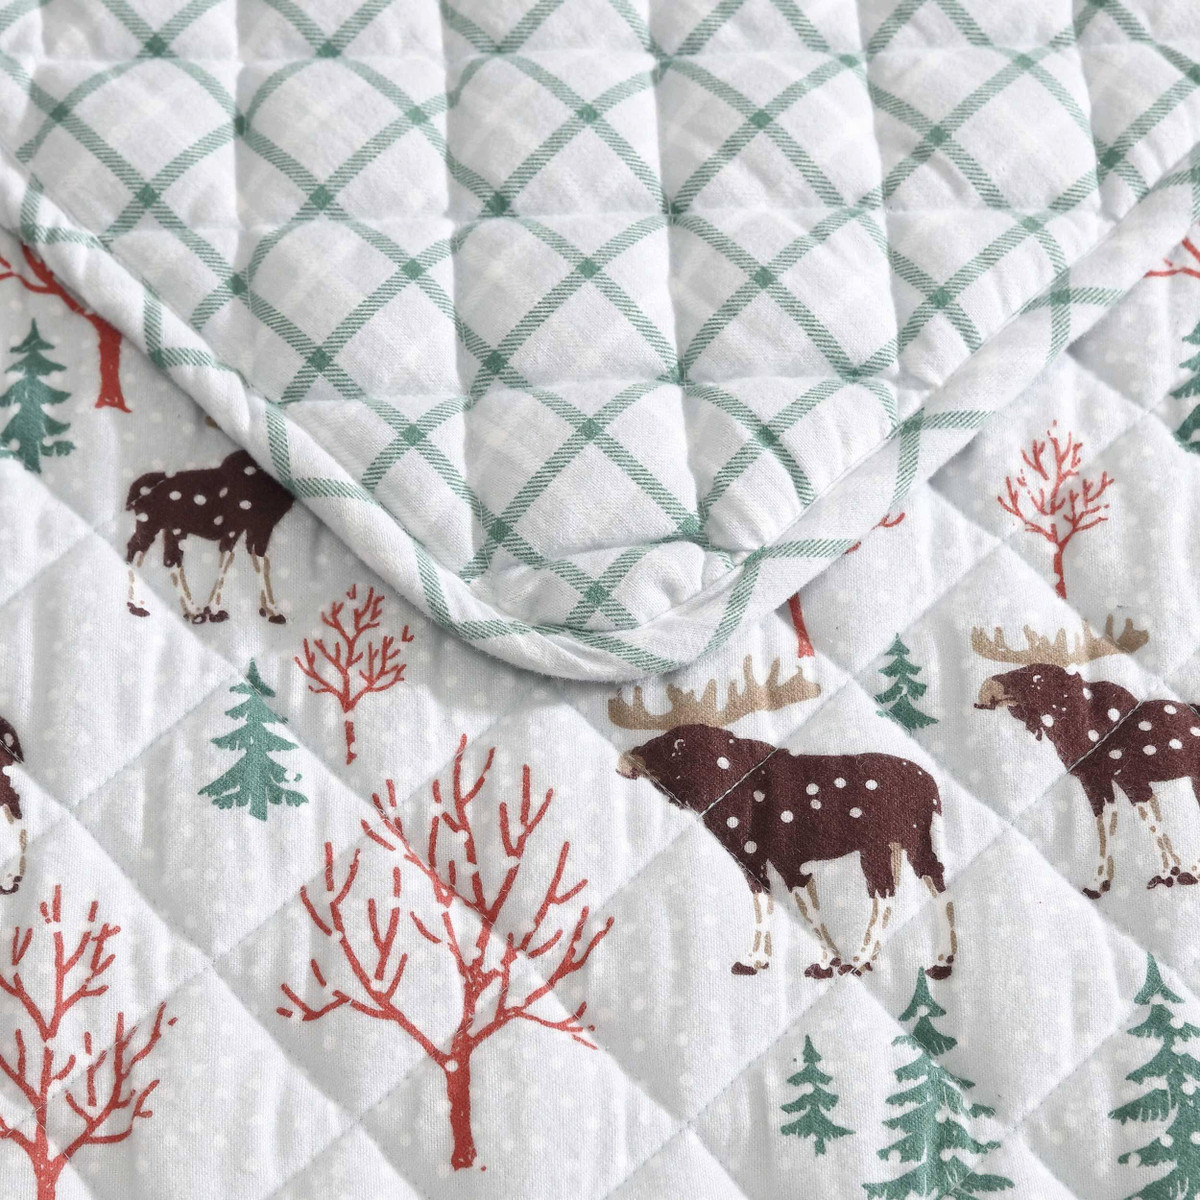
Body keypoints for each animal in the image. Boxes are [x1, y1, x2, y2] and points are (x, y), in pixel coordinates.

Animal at [125, 450, 294, 625]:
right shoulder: (237, 525)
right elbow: (228, 558)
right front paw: (214, 611)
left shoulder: (261, 527)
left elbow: (260, 561)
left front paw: (271, 611)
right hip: (152, 523)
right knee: (139, 550)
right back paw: (139, 606)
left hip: (170, 528)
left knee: (167, 559)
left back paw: (189, 612)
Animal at [610, 657, 956, 979]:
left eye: (678, 743)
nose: (624, 760)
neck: (720, 801)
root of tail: (933, 787)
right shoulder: (750, 857)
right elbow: (764, 902)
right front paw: (755, 960)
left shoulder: (790, 856)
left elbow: (806, 910)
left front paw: (824, 964)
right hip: (879, 847)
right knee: (885, 893)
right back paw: (863, 960)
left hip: (914, 837)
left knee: (933, 879)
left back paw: (941, 961)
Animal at [972, 618, 1199, 897]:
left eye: (1036, 676)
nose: (987, 688)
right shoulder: (1099, 779)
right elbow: (1108, 824)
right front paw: (1100, 882)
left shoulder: (1126, 777)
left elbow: (1149, 821)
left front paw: (1170, 873)